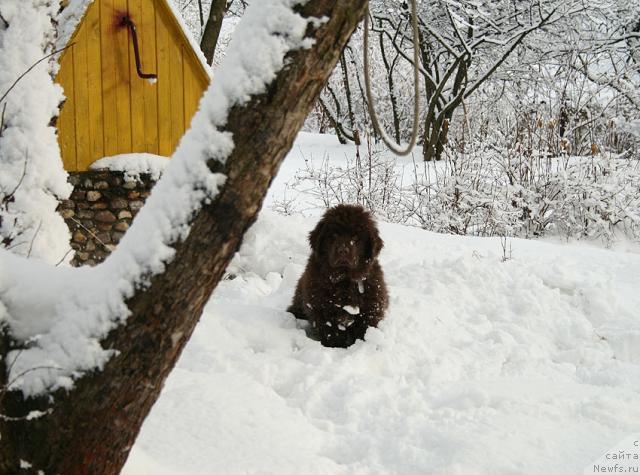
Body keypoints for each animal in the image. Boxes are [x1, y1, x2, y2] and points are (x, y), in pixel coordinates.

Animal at [288, 205, 388, 350]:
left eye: (355, 236)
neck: (344, 280)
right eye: (334, 235)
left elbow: (364, 328)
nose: (343, 250)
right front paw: (336, 347)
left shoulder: (371, 308)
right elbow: (331, 332)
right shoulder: (322, 309)